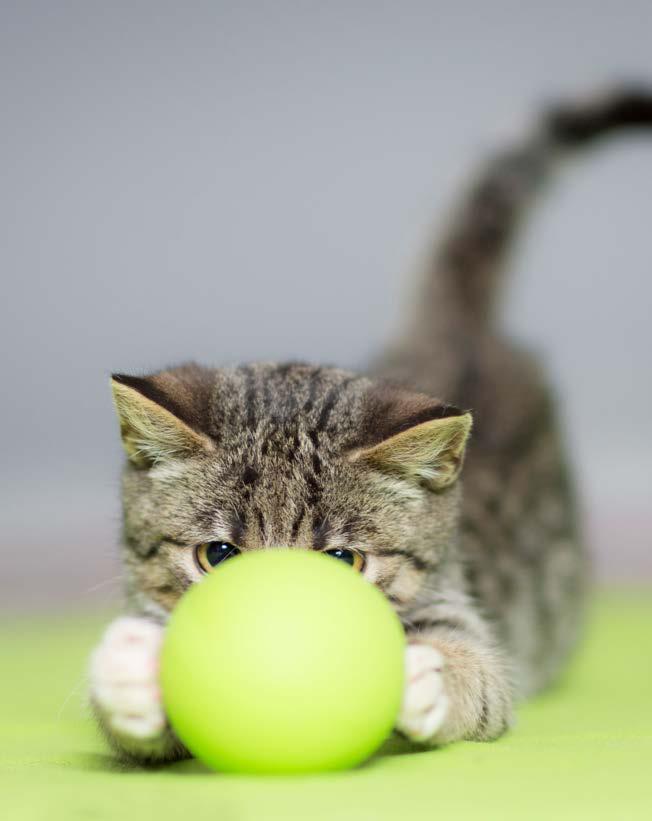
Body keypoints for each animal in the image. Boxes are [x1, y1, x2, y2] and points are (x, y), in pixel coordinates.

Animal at [90, 86, 652, 760]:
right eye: (218, 555)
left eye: (343, 561)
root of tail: (457, 334)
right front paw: (134, 679)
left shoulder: (469, 619)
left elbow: (479, 678)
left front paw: (428, 675)